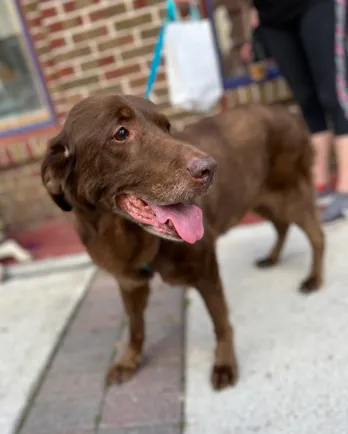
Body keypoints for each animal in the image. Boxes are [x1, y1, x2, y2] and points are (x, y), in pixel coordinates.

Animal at [40, 96, 324, 392]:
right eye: (121, 133)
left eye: (167, 127)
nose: (210, 168)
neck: (127, 234)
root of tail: (290, 113)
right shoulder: (128, 281)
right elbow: (135, 326)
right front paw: (129, 361)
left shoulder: (205, 267)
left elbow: (220, 321)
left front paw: (224, 363)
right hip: (257, 197)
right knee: (282, 225)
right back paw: (272, 257)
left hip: (288, 194)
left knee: (316, 234)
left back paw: (313, 278)